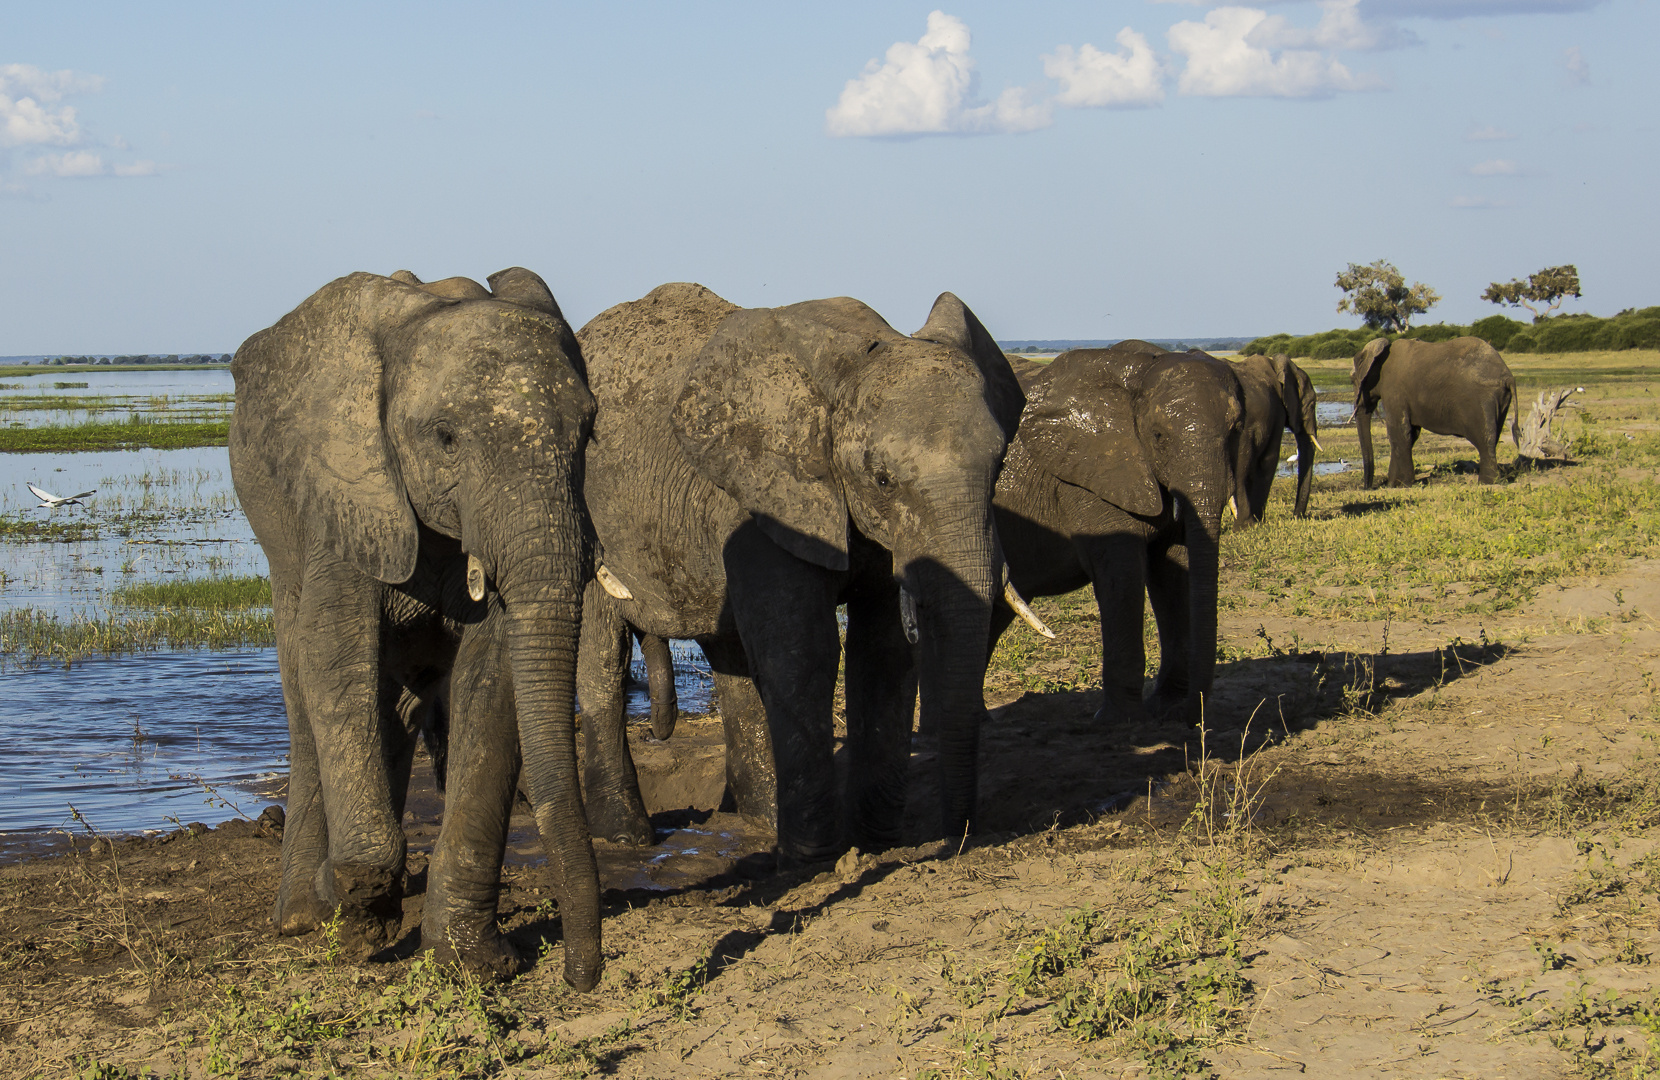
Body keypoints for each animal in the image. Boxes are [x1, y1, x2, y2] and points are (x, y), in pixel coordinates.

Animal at [230, 268, 600, 988]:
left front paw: (471, 965)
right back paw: (305, 917)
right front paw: (353, 903)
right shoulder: (346, 491)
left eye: (590, 431)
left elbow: (493, 678)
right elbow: (333, 655)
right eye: (446, 438)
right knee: (307, 696)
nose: (579, 976)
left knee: (397, 706)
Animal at [574, 283, 1022, 869]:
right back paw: (628, 837)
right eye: (882, 478)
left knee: (731, 655)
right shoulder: (761, 499)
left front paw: (876, 840)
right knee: (601, 656)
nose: (958, 840)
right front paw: (816, 857)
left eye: (1000, 467)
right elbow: (801, 651)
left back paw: (763, 820)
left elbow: (882, 650)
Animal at [982, 341, 1248, 729]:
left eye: (1238, 429)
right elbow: (1121, 570)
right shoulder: (1086, 477)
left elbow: (1174, 569)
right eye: (1158, 436)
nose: (1190, 720)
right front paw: (1121, 723)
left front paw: (1165, 708)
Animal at [1235, 355, 1321, 527]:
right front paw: (1258, 520)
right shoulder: (1276, 411)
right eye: (1312, 403)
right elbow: (1269, 459)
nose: (1296, 516)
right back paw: (1247, 524)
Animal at [1347, 338, 1520, 491]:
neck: (1379, 353)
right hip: (1501, 399)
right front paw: (1394, 484)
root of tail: (1508, 376)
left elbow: (1399, 432)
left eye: (1352, 380)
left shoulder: (1393, 390)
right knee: (1493, 437)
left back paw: (1486, 483)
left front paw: (1400, 485)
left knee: (1485, 440)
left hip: (1481, 398)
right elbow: (1412, 433)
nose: (1367, 488)